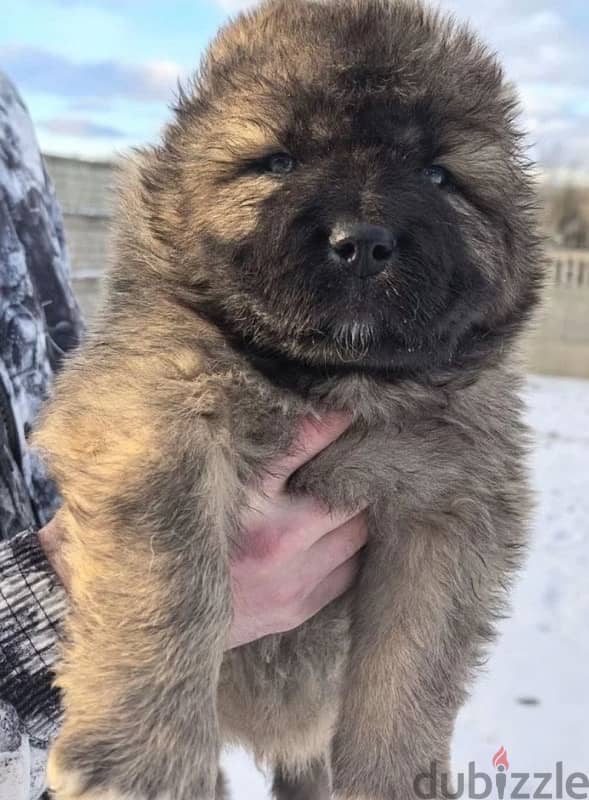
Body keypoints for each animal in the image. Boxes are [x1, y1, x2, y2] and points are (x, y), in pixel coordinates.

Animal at [35, 1, 544, 800]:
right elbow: (169, 582)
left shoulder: (451, 504)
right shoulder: (152, 418)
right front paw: (141, 760)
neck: (328, 381)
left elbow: (410, 667)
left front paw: (393, 780)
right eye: (279, 162)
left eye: (438, 175)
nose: (362, 241)